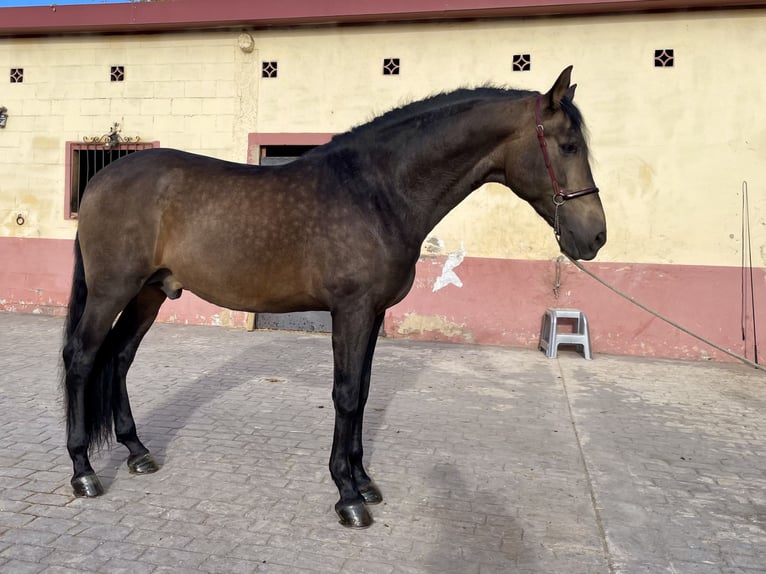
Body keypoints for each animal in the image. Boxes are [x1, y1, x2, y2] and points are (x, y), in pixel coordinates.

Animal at [61, 65, 608, 528]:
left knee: (120, 357)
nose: (596, 237)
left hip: (150, 294)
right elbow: (345, 395)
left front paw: (364, 482)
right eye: (567, 146)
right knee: (82, 358)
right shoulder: (351, 311)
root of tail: (101, 178)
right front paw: (347, 496)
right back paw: (83, 471)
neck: (377, 192)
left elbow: (362, 393)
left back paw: (136, 452)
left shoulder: (373, 315)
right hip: (112, 290)